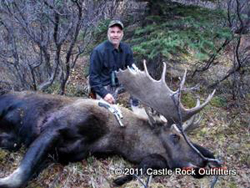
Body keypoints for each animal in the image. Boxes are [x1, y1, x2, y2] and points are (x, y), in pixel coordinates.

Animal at [0, 62, 220, 187]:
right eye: (175, 136)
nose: (204, 161)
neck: (108, 137)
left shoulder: (62, 155)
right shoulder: (53, 127)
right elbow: (18, 177)